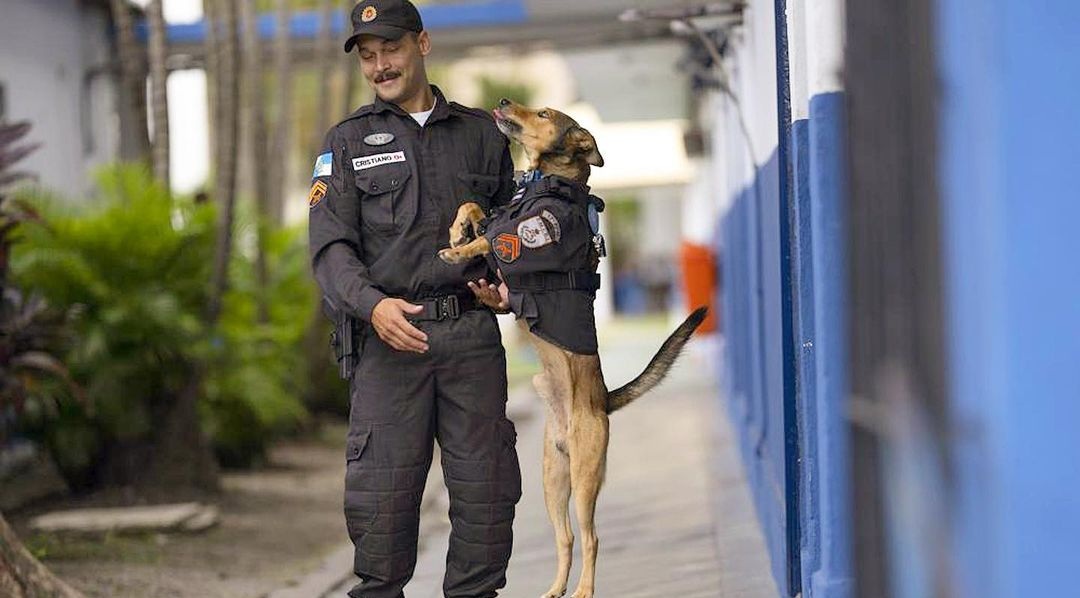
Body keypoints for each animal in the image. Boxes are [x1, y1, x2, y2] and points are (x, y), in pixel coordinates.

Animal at [438, 98, 708, 595]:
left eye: (544, 113)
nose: (502, 102)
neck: (541, 183)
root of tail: (602, 402)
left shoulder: (525, 241)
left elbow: (494, 237)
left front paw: (459, 249)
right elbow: (478, 208)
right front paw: (456, 231)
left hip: (584, 479)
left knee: (592, 536)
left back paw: (583, 589)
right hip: (551, 480)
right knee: (564, 538)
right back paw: (555, 589)